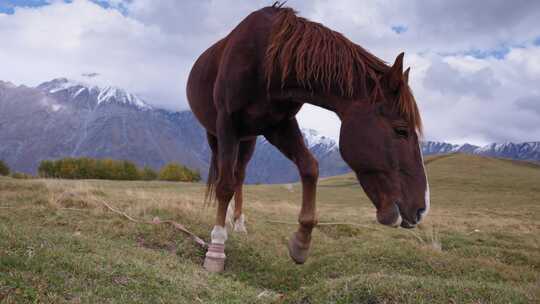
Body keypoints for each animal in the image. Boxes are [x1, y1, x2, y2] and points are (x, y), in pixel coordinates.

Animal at [186, 2, 430, 274]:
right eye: (401, 130)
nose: (421, 209)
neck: (266, 60)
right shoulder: (228, 123)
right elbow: (224, 185)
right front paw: (216, 248)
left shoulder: (278, 125)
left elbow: (309, 167)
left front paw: (301, 241)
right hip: (217, 135)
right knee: (225, 175)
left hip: (248, 139)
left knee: (239, 175)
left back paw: (237, 222)